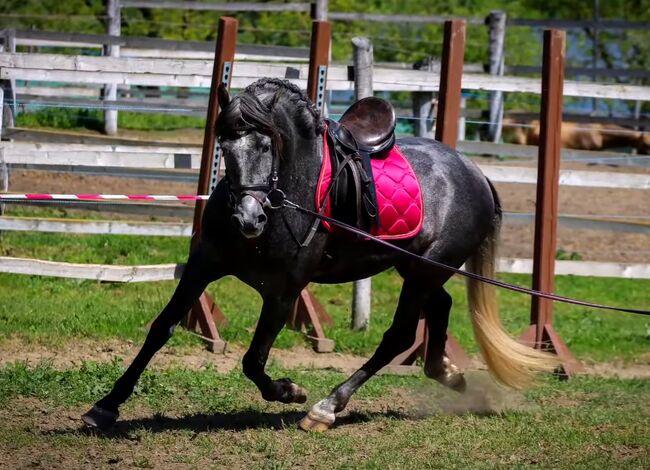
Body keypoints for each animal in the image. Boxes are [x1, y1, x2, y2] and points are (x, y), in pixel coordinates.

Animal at [82, 78, 556, 434]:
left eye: (267, 146)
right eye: (224, 146)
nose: (248, 218)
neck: (283, 197)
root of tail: (476, 173)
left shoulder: (284, 291)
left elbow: (253, 360)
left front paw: (290, 392)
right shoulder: (203, 266)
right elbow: (161, 329)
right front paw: (106, 405)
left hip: (423, 271)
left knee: (399, 336)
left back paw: (327, 407)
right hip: (417, 268)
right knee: (441, 305)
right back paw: (446, 373)